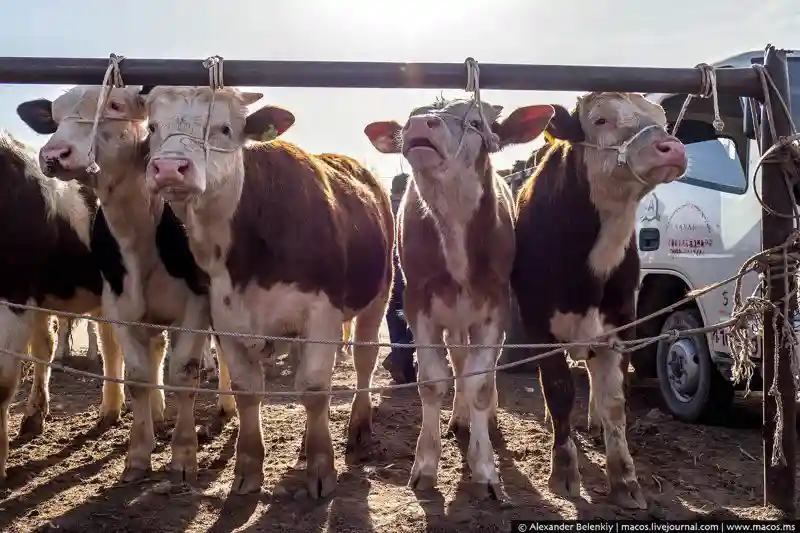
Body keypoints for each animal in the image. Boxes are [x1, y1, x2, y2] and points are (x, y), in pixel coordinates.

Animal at [16, 84, 238, 482]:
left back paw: (226, 408)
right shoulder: (120, 307)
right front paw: (138, 453)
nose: (55, 154)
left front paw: (184, 456)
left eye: (115, 104)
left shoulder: (196, 307)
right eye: (55, 117)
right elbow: (137, 376)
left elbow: (185, 373)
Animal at [141, 85, 396, 496]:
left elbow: (314, 388)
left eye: (224, 128)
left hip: (378, 296)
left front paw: (322, 468)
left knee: (364, 358)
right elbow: (247, 390)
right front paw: (248, 467)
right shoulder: (224, 317)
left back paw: (358, 427)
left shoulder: (323, 315)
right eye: (152, 126)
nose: (168, 168)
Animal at [362, 95, 556, 498]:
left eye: (477, 122)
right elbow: (434, 381)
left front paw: (484, 467)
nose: (422, 124)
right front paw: (426, 464)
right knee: (459, 359)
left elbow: (479, 382)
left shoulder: (496, 305)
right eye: (410, 117)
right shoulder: (419, 304)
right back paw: (460, 419)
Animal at [512, 91, 688, 508]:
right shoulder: (540, 329)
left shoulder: (621, 325)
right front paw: (563, 471)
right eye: (601, 120)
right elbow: (558, 391)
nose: (672, 147)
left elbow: (614, 402)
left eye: (662, 120)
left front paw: (624, 478)